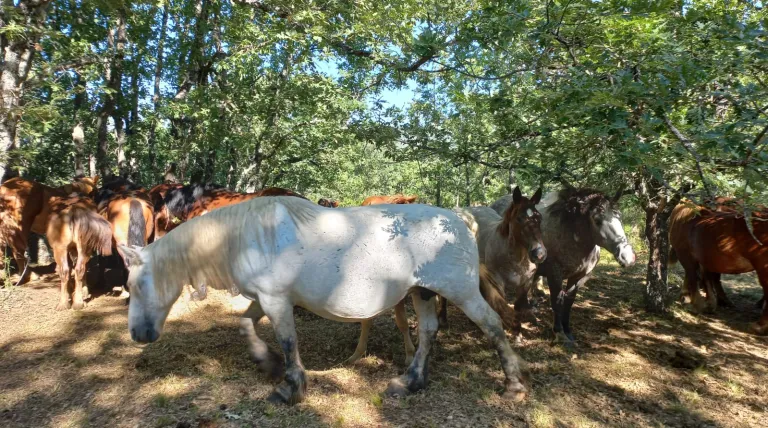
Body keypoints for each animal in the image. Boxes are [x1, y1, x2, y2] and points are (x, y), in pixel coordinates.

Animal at [118, 196, 529, 405]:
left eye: (136, 285)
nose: (137, 335)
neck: (247, 234)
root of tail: (460, 220)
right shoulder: (265, 298)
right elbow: (245, 324)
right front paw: (266, 362)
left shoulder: (276, 301)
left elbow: (288, 341)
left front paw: (290, 387)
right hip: (421, 293)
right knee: (428, 332)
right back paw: (410, 381)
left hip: (460, 292)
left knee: (492, 325)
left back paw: (513, 385)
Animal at [450, 187, 546, 342]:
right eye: (519, 219)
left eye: (539, 218)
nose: (539, 254)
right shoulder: (496, 281)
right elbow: (502, 303)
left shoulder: (526, 282)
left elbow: (518, 306)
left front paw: (518, 333)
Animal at [493, 187, 636, 346]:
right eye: (597, 220)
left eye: (619, 216)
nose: (627, 257)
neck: (570, 234)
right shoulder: (555, 275)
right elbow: (557, 302)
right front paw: (559, 333)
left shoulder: (579, 277)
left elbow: (568, 302)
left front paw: (568, 331)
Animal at [668, 202, 768, 334]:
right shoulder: (704, 259)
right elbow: (706, 278)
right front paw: (709, 304)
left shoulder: (686, 256)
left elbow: (694, 278)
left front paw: (695, 304)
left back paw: (759, 326)